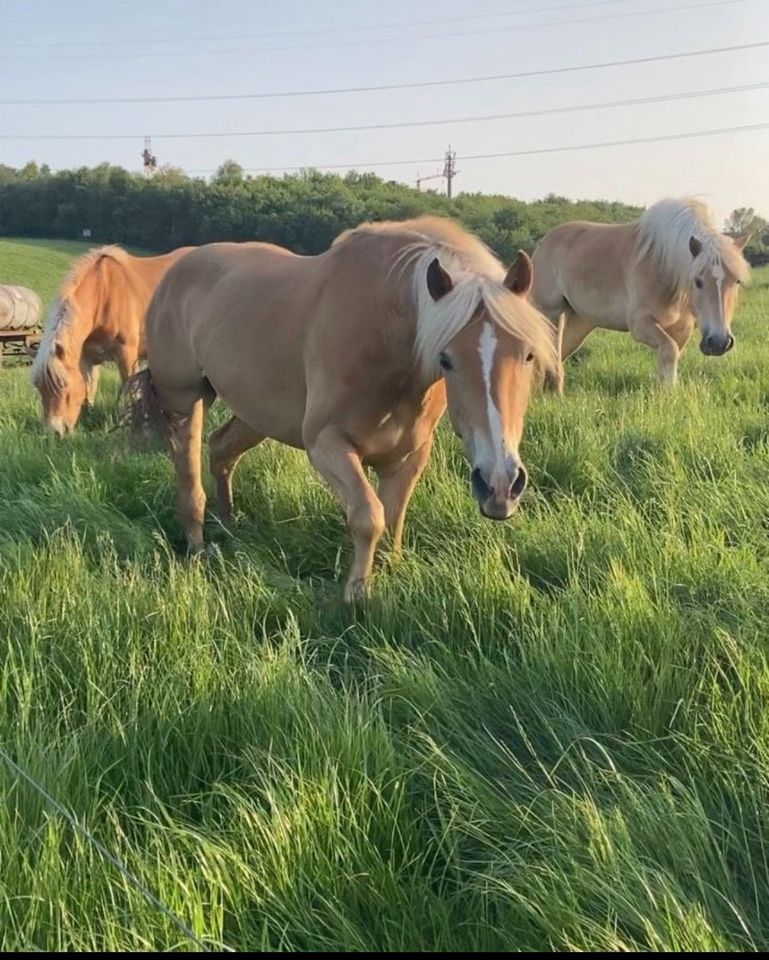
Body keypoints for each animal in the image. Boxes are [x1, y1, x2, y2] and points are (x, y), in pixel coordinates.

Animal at [33, 244, 194, 436]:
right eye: (39, 387)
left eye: (63, 385)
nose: (54, 432)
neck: (103, 294)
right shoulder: (87, 358)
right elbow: (89, 389)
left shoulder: (127, 353)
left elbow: (129, 390)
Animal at [129, 216, 556, 600]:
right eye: (446, 358)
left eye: (528, 354)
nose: (500, 486)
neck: (384, 337)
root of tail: (176, 270)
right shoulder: (327, 446)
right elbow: (369, 516)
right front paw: (356, 596)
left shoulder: (409, 456)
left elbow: (394, 517)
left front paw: (390, 573)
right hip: (185, 401)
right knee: (189, 478)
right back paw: (198, 548)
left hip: (258, 414)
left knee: (221, 450)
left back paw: (230, 524)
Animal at [532, 197, 748, 392]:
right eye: (698, 281)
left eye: (737, 281)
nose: (719, 343)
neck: (663, 265)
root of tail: (545, 241)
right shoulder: (640, 324)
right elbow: (669, 350)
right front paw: (669, 392)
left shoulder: (683, 328)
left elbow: (671, 354)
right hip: (551, 313)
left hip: (580, 321)